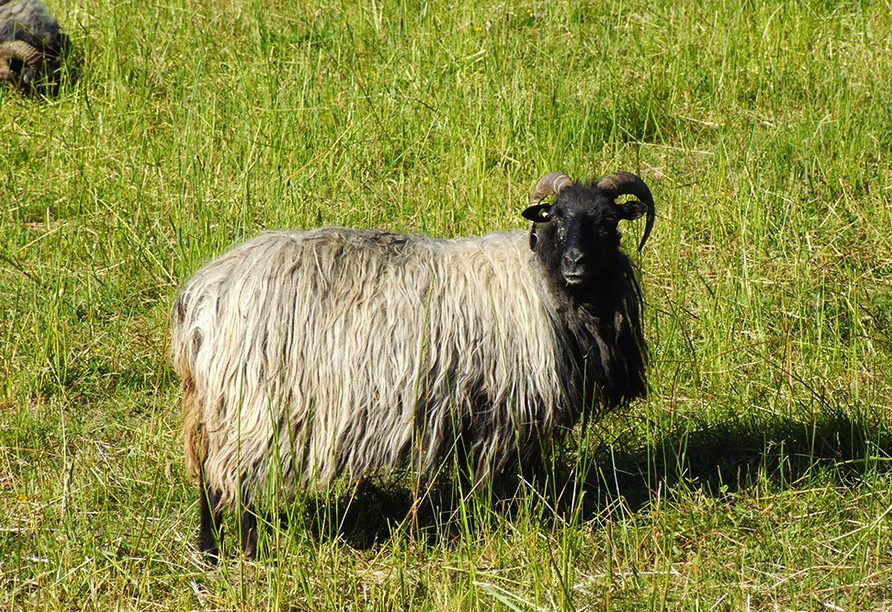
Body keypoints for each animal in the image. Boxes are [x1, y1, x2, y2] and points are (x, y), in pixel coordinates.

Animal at [171, 169, 656, 560]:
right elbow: (489, 479)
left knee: (209, 476)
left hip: (220, 403)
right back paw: (249, 551)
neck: (544, 281)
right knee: (232, 477)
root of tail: (203, 293)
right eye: (555, 217)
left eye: (608, 221)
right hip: (253, 401)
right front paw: (489, 525)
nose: (576, 262)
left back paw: (209, 551)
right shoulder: (502, 406)